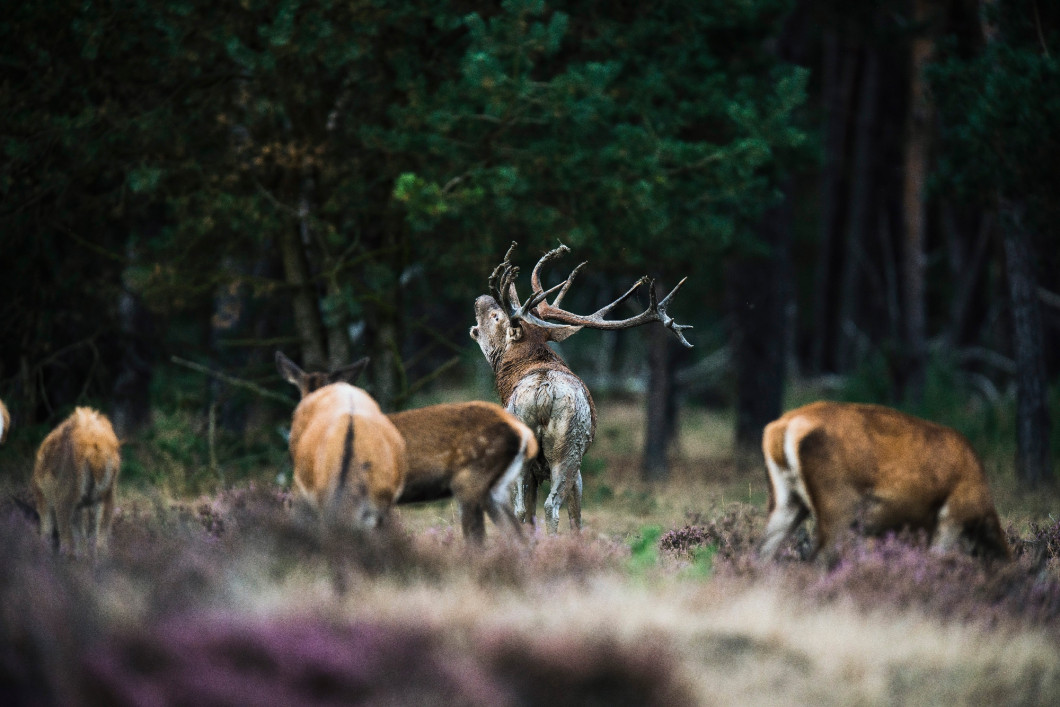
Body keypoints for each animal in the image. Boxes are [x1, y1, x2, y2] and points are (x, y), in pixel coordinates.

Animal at [32, 407, 121, 555]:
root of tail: (95, 453)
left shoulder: (43, 495)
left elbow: (47, 532)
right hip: (108, 495)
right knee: (100, 542)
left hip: (65, 495)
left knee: (65, 541)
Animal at [474, 241, 695, 529]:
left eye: (496, 316)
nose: (479, 299)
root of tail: (544, 393)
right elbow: (576, 518)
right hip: (569, 450)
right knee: (550, 506)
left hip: (542, 450)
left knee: (526, 510)